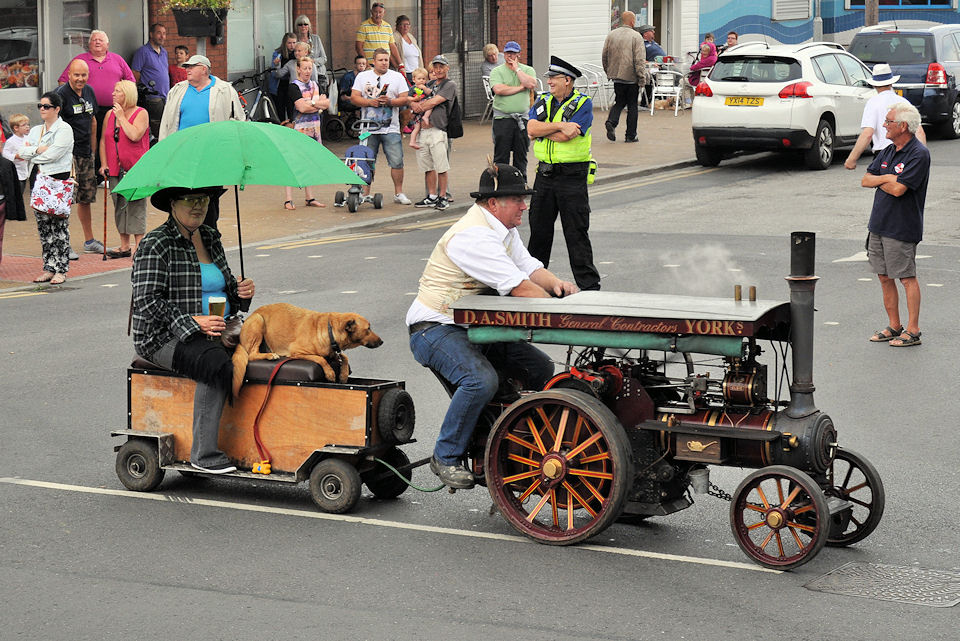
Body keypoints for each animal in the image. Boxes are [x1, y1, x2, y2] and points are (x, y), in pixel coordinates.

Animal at [232, 302, 382, 398]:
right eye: (368, 329)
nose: (382, 341)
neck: (329, 330)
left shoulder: (333, 353)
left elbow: (344, 357)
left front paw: (344, 374)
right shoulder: (297, 351)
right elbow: (320, 358)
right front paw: (330, 373)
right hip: (258, 322)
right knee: (252, 355)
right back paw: (270, 355)